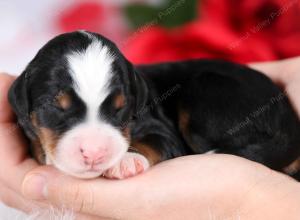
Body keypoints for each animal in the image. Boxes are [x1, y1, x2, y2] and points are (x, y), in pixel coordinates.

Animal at [8, 31, 300, 180]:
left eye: (120, 108)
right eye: (56, 107)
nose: (94, 153)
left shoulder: (164, 132)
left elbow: (153, 141)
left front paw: (126, 159)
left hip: (204, 89)